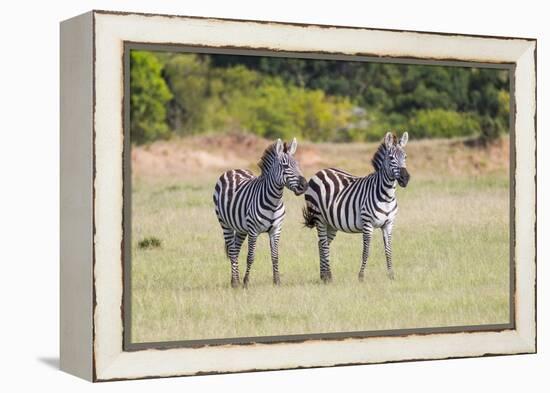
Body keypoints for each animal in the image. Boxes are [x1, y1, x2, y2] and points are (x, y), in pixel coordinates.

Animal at [215, 138, 310, 288]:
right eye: (285, 166)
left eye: (298, 165)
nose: (304, 186)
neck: (274, 202)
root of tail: (234, 170)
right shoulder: (253, 230)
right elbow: (250, 257)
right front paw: (246, 282)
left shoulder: (276, 229)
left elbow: (275, 256)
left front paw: (277, 281)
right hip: (225, 224)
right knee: (232, 251)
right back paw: (235, 282)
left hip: (241, 228)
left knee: (236, 249)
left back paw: (235, 280)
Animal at [304, 132, 412, 282]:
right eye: (391, 158)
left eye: (405, 157)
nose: (405, 178)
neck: (387, 196)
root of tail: (321, 171)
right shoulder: (367, 224)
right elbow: (366, 251)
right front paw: (361, 276)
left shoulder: (389, 224)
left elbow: (388, 250)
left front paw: (391, 276)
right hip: (319, 218)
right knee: (324, 245)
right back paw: (328, 277)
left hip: (331, 223)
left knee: (321, 244)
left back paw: (323, 275)